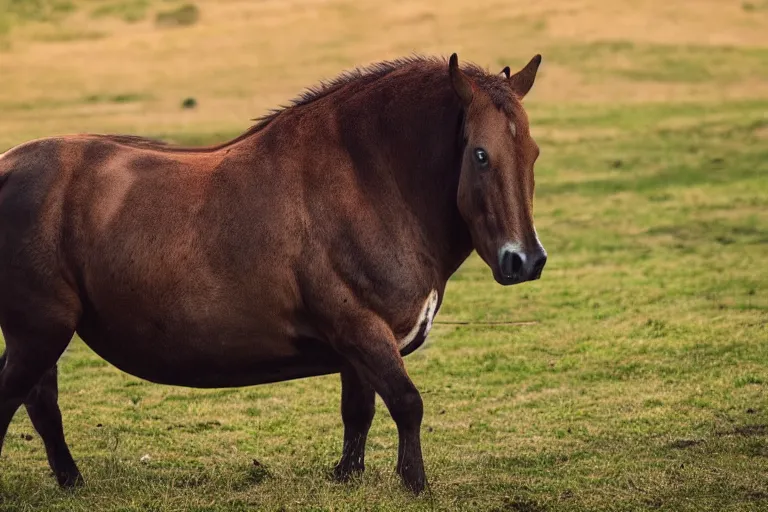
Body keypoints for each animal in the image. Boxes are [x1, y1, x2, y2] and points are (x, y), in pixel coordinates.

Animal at [3, 54, 548, 494]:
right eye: (480, 154)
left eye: (533, 153)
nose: (525, 260)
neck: (368, 183)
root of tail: (7, 167)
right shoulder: (364, 330)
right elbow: (407, 403)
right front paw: (415, 483)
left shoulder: (356, 345)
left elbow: (360, 410)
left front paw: (347, 475)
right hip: (40, 331)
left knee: (42, 405)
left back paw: (72, 481)